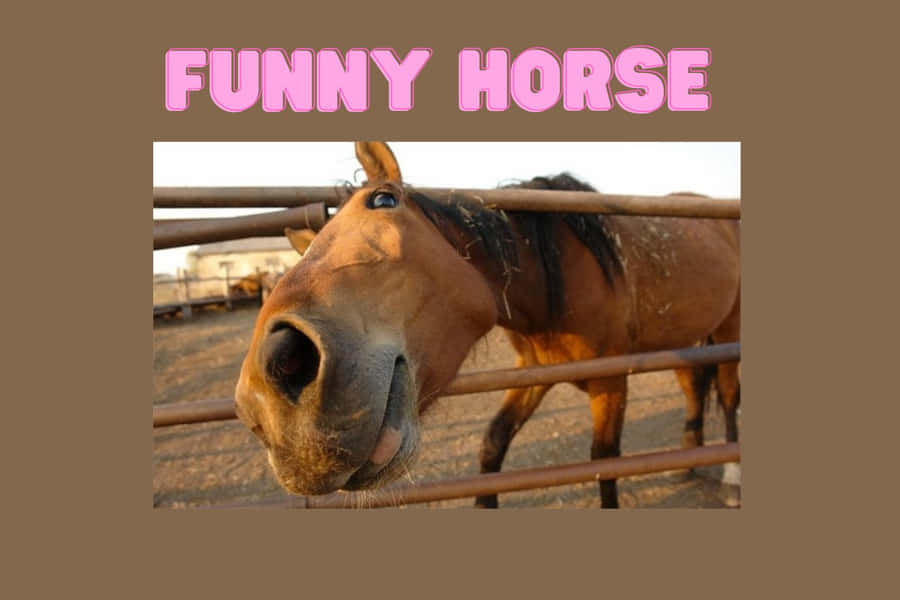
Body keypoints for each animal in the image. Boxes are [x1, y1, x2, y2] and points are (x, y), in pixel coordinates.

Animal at [234, 142, 741, 508]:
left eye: (383, 199)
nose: (266, 390)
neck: (560, 274)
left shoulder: (609, 379)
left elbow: (604, 461)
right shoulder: (534, 370)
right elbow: (493, 442)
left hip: (729, 331)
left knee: (728, 395)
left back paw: (731, 478)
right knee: (694, 384)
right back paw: (688, 456)